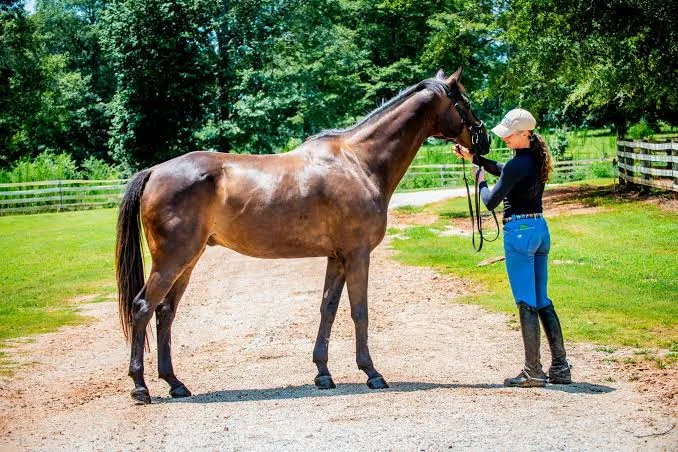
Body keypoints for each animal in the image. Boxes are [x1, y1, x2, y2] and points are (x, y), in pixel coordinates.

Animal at [115, 67, 488, 404]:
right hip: (172, 260)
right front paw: (372, 373)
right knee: (143, 307)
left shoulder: (337, 257)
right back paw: (141, 388)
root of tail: (154, 171)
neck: (359, 163)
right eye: (464, 101)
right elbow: (360, 311)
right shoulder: (358, 254)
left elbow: (328, 309)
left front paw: (323, 373)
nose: (483, 139)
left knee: (165, 312)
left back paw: (175, 383)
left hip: (188, 261)